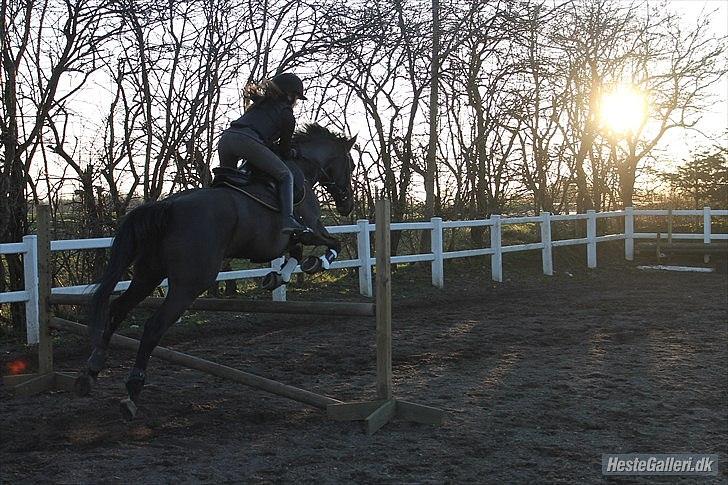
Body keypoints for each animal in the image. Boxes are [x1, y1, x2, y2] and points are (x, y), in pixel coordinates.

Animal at [75, 123, 356, 418]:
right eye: (350, 164)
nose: (347, 205)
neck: (302, 168)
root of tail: (166, 206)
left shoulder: (286, 241)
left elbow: (296, 253)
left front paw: (278, 277)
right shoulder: (310, 228)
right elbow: (331, 243)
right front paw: (318, 263)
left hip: (148, 275)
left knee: (118, 309)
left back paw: (91, 372)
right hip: (190, 283)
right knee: (153, 326)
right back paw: (132, 389)